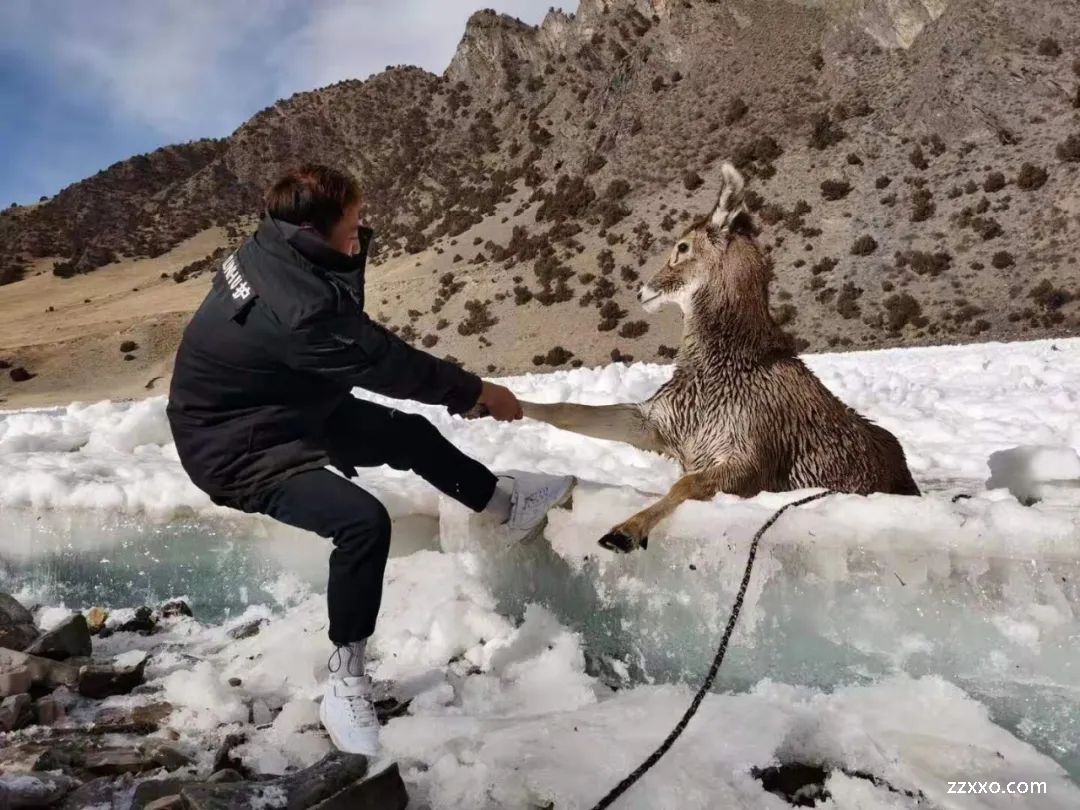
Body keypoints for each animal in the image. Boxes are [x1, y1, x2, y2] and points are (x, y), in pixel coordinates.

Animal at [505, 162, 920, 557]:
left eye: (683, 247)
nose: (642, 292)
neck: (722, 368)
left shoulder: (748, 460)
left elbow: (685, 484)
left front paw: (624, 533)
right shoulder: (659, 423)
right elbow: (568, 411)